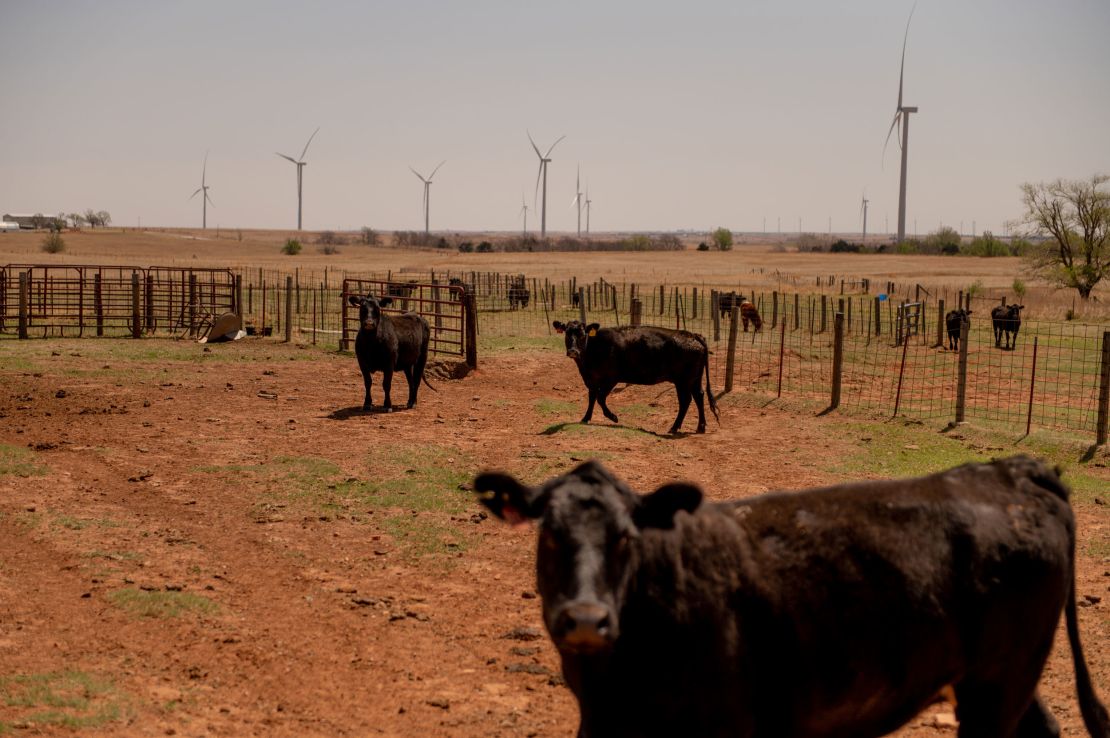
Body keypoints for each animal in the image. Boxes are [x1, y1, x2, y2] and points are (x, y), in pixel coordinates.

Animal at [475, 455, 1110, 736]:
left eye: (625, 536)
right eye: (549, 533)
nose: (586, 619)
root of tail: (1015, 470)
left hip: (1000, 682)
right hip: (997, 676)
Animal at [548, 321, 719, 435]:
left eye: (583, 335)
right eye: (567, 333)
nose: (573, 351)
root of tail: (693, 335)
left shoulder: (611, 378)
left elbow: (600, 398)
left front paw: (613, 417)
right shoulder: (592, 379)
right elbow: (592, 397)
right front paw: (586, 418)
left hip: (683, 381)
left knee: (686, 400)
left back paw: (675, 427)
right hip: (694, 379)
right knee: (698, 396)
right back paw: (700, 427)